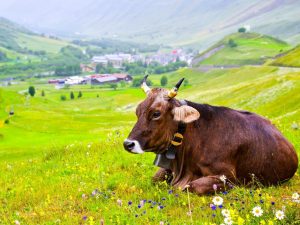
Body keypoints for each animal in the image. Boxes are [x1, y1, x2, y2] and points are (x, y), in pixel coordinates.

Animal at [122, 76, 298, 195]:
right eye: (137, 111)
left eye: (156, 114)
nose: (127, 144)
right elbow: (155, 178)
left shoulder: (227, 178)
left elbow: (193, 186)